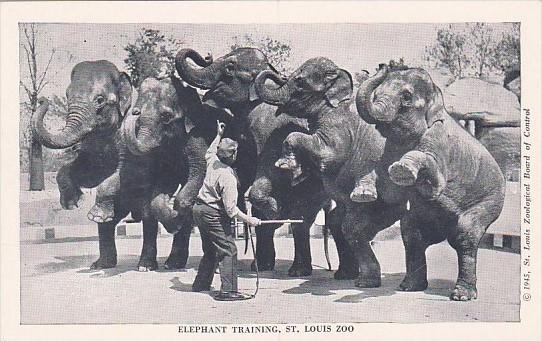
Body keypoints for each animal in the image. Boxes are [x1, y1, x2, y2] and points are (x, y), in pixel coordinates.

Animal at [258, 56, 410, 286]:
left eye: (300, 82)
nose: (384, 65)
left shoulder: (338, 126)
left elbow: (327, 153)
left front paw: (284, 164)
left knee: (355, 225)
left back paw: (364, 279)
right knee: (343, 222)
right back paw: (347, 275)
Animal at [356, 63, 506, 298]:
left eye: (406, 97)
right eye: (377, 94)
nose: (383, 66)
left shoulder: (438, 141)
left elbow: (435, 183)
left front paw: (402, 169)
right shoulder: (390, 147)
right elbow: (388, 189)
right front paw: (363, 194)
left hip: (490, 202)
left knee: (466, 235)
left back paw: (461, 295)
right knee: (412, 234)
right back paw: (410, 287)